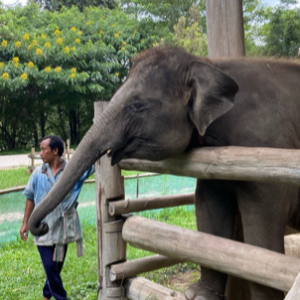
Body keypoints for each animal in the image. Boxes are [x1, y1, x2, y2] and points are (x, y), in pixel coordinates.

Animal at [28, 47, 300, 300]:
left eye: (138, 106)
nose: (41, 226)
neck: (208, 64)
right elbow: (209, 209)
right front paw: (199, 294)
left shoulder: (267, 155)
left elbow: (261, 235)